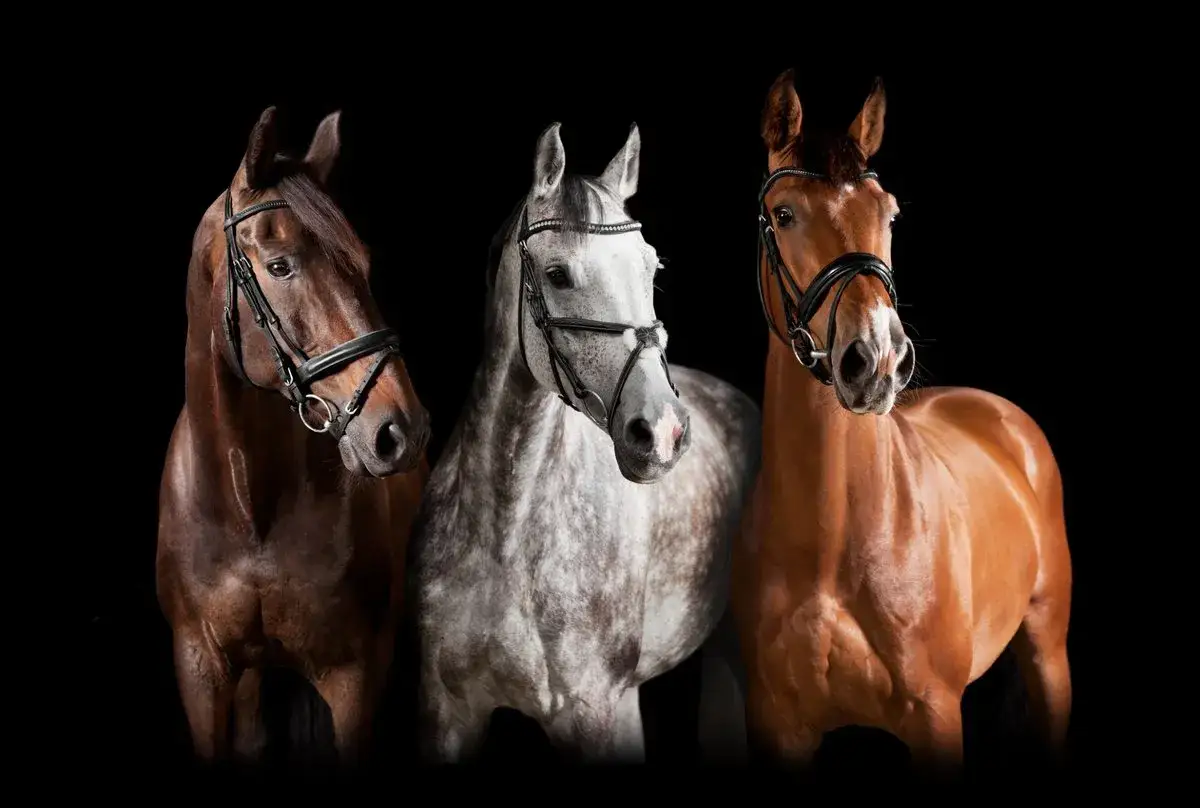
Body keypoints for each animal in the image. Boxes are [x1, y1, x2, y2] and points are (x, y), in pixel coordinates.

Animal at [155, 106, 430, 770]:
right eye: (281, 266)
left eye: (363, 264)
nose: (400, 431)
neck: (249, 507)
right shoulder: (201, 671)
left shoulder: (355, 679)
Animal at [410, 122, 760, 764]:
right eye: (557, 275)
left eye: (651, 269)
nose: (662, 431)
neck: (507, 532)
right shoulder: (445, 714)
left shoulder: (597, 712)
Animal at [731, 70, 1073, 776]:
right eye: (784, 214)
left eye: (888, 213)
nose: (879, 358)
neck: (832, 541)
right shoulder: (776, 725)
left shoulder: (934, 716)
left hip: (1049, 652)